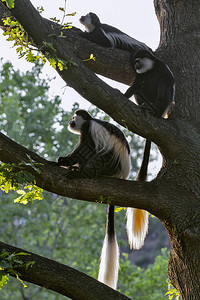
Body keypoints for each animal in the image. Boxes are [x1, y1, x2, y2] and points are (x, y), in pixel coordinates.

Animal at [56, 109, 131, 288]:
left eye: (74, 118)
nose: (70, 122)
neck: (89, 121)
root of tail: (122, 175)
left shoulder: (88, 130)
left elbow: (85, 149)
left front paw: (64, 161)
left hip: (111, 163)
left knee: (99, 155)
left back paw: (80, 173)